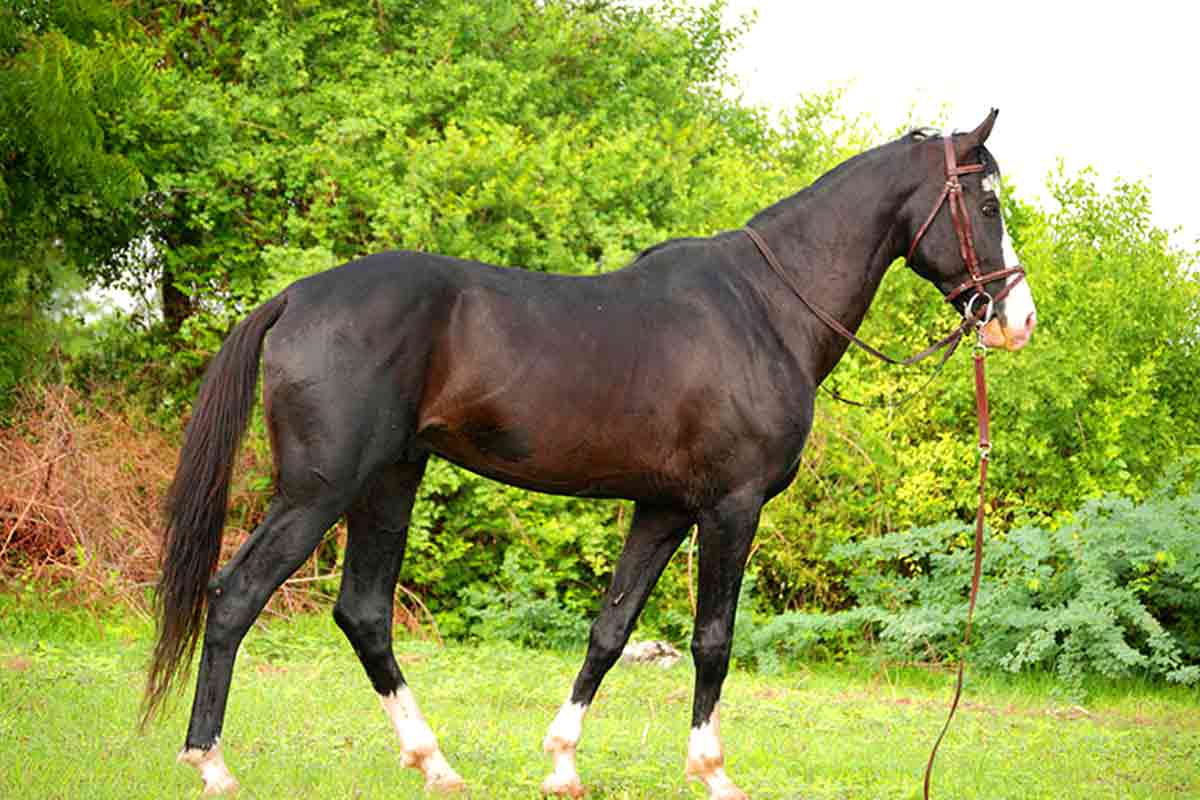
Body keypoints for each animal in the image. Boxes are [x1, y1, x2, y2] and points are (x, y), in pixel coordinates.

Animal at [144, 109, 1037, 799]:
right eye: (987, 199)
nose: (1016, 318)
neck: (766, 307)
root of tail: (295, 298)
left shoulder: (663, 508)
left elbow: (609, 631)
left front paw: (562, 763)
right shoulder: (732, 507)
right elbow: (713, 639)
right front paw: (712, 771)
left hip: (388, 480)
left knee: (363, 612)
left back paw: (434, 763)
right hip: (318, 491)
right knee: (236, 596)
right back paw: (211, 763)